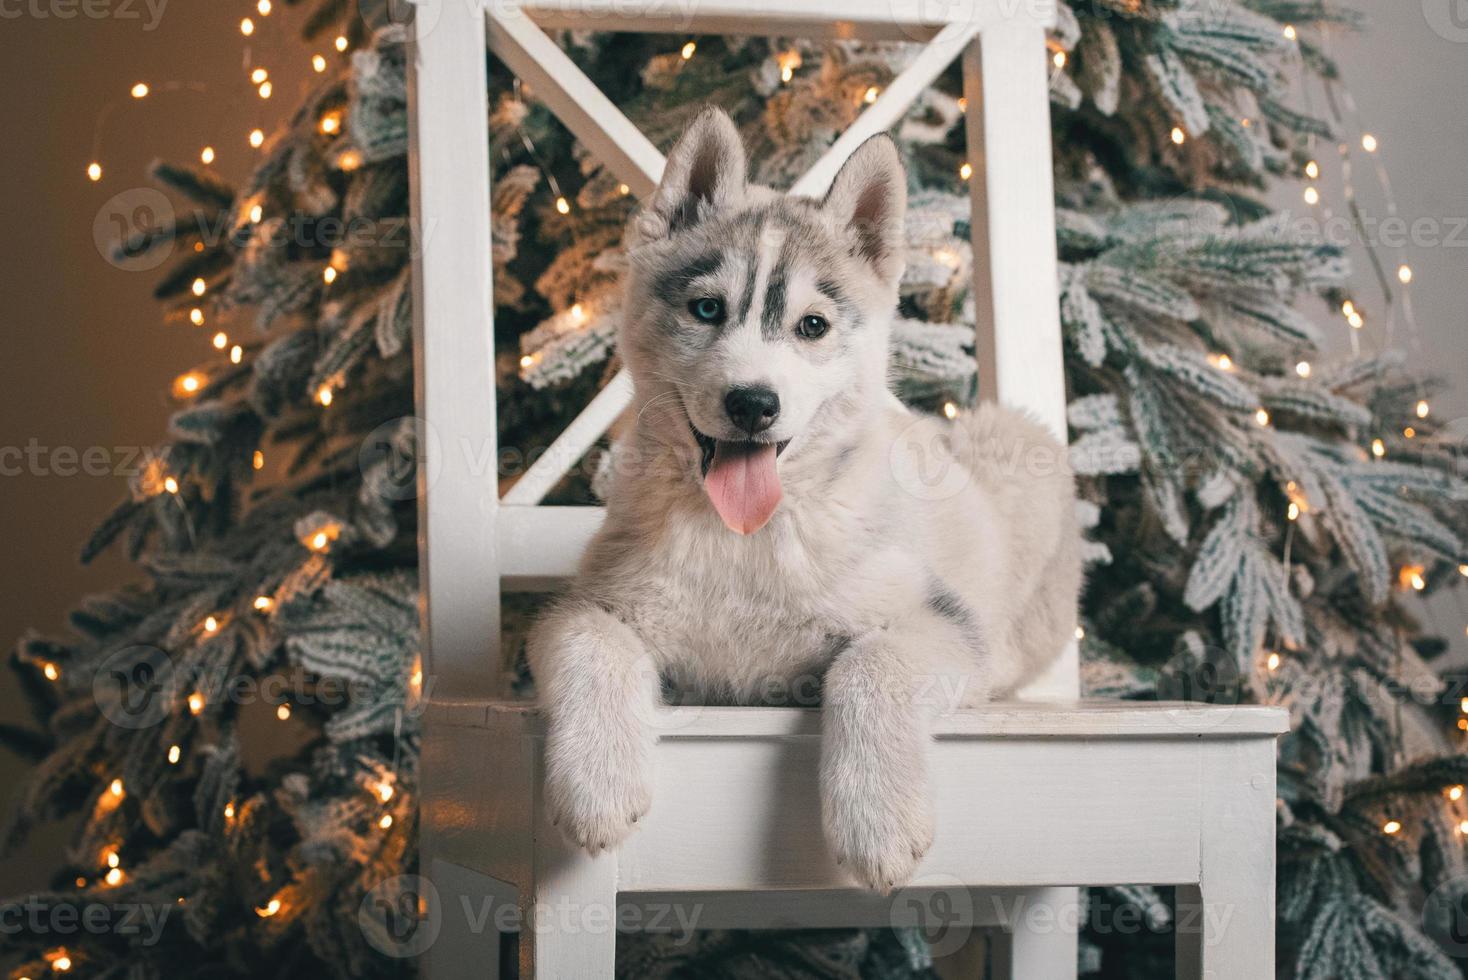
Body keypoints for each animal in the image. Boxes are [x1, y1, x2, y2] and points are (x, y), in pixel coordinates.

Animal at [528, 109, 1080, 897]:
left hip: (1017, 445)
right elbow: (588, 641)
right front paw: (597, 786)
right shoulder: (589, 600)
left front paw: (878, 823)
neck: (746, 534)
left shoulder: (940, 617)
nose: (753, 403)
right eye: (706, 309)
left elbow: (870, 664)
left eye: (812, 326)